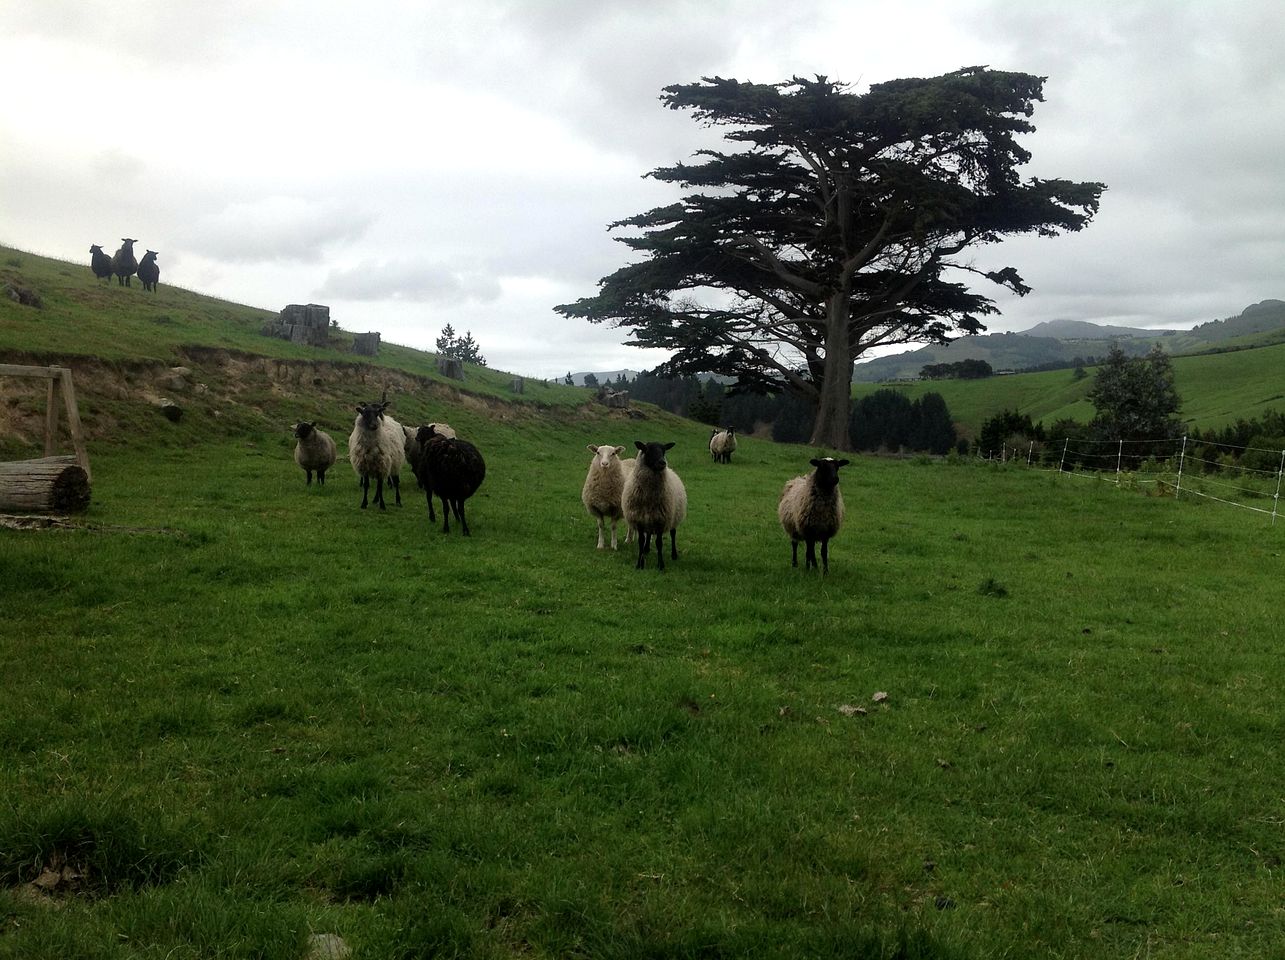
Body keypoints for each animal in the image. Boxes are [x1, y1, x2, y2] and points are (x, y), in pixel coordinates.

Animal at [624, 442, 688, 570]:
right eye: (647, 450)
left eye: (664, 451)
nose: (662, 462)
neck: (649, 497)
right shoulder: (639, 520)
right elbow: (641, 541)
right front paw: (639, 564)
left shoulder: (661, 520)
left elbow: (659, 543)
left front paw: (661, 565)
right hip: (649, 519)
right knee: (648, 534)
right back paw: (647, 549)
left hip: (673, 516)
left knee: (673, 534)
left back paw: (674, 554)